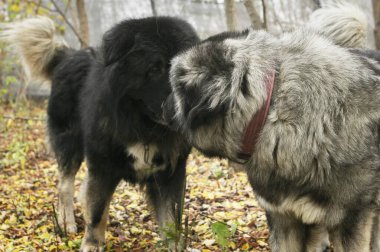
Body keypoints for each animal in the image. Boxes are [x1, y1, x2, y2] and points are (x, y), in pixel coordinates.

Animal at [2, 16, 199, 250]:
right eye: (154, 69)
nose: (183, 108)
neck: (142, 125)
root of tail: (69, 56)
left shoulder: (172, 172)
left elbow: (171, 218)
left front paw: (175, 246)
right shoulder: (102, 166)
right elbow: (97, 211)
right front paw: (92, 243)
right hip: (70, 143)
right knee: (65, 185)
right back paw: (66, 221)